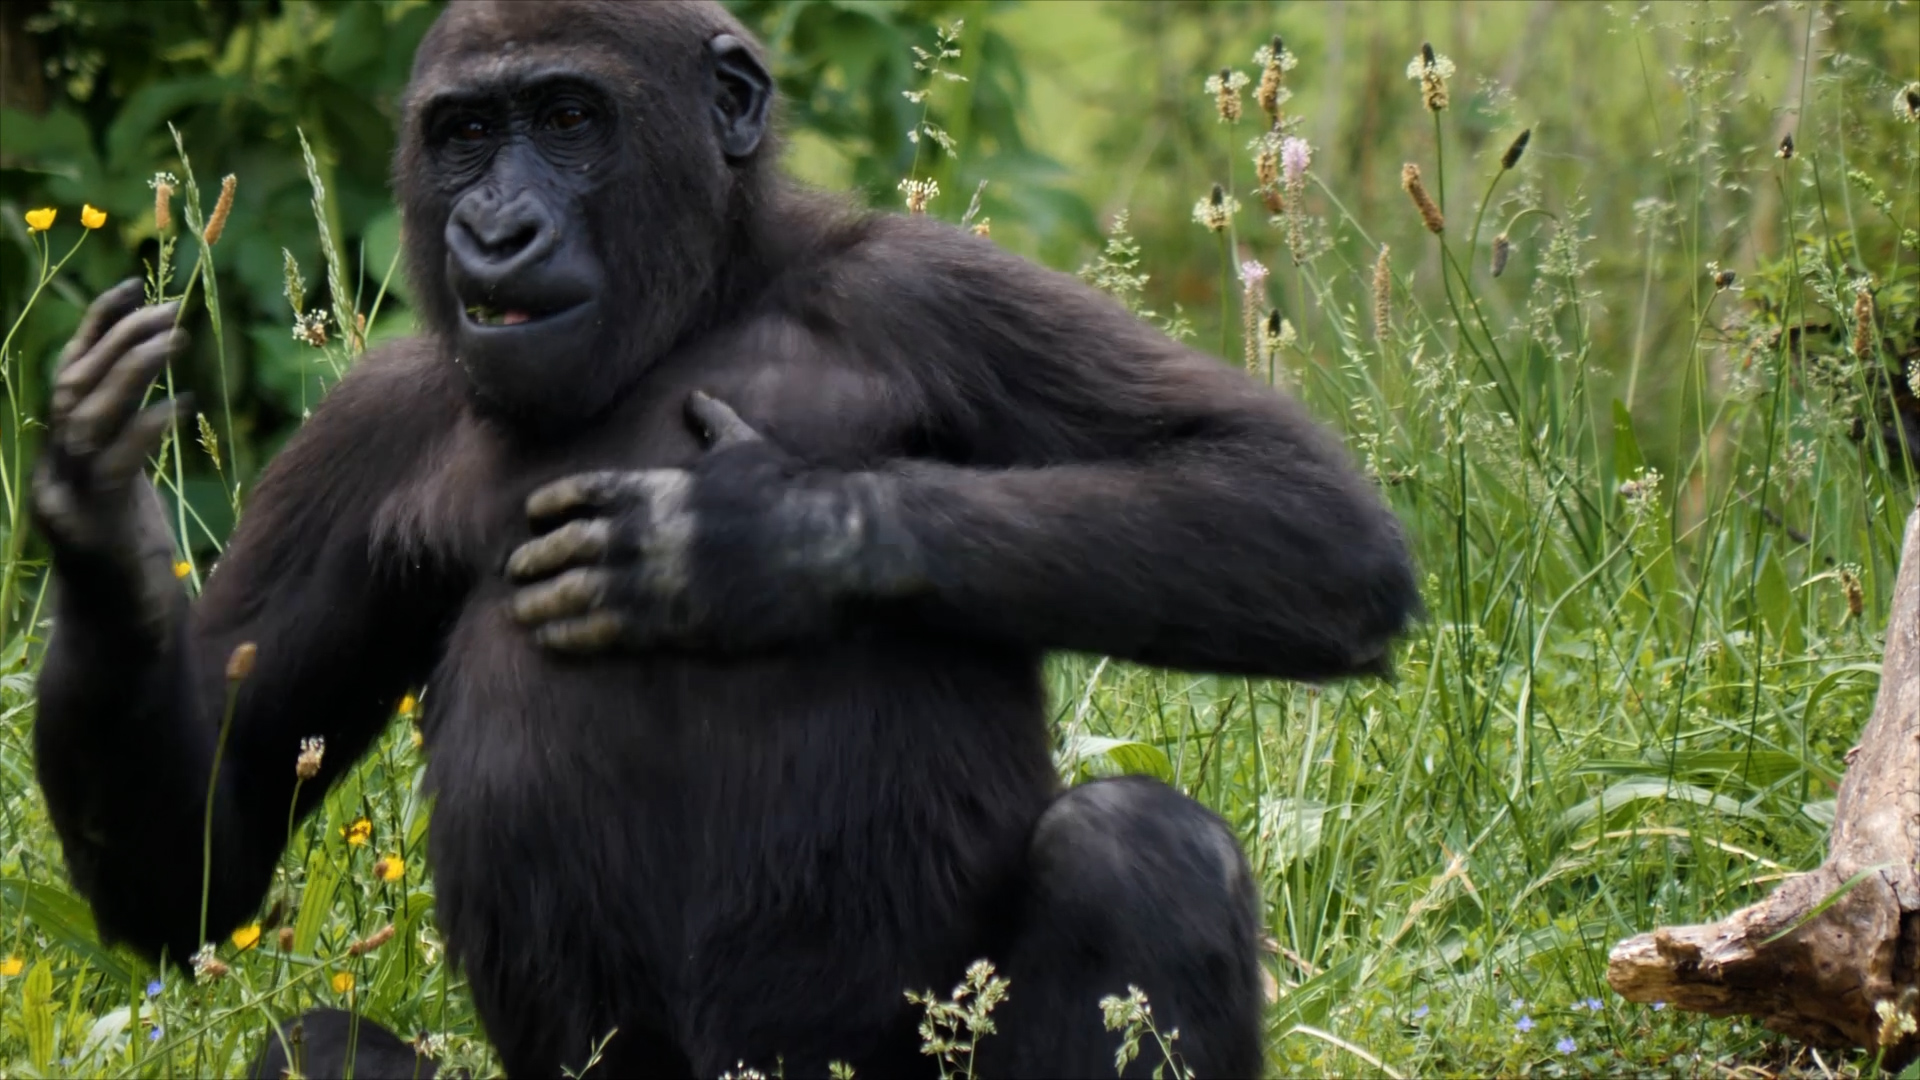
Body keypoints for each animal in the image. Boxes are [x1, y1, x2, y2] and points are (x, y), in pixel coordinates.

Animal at [26, 4, 1413, 1068]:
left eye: (568, 120)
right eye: (466, 135)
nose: (496, 231)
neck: (699, 303)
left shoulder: (927, 291)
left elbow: (1294, 510)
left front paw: (751, 540)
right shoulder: (369, 427)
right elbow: (201, 856)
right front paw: (101, 537)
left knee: (1144, 848)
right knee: (310, 1043)